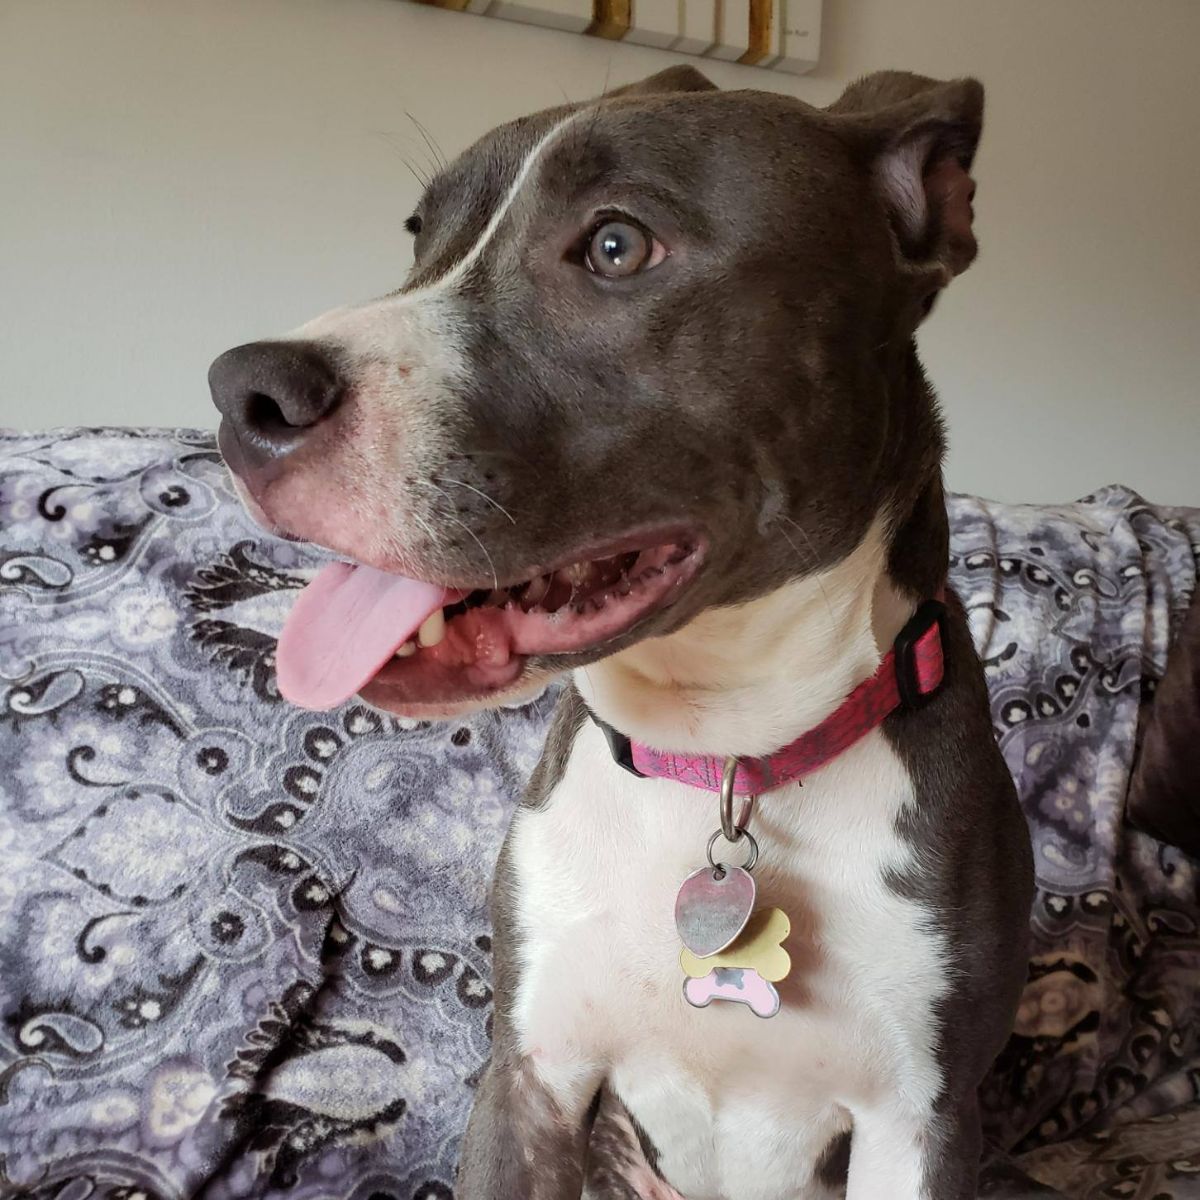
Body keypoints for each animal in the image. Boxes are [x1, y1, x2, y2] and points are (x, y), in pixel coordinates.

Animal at [206, 63, 1032, 1200]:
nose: (243, 393)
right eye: (421, 235)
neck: (724, 752)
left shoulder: (925, 1123)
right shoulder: (530, 1079)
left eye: (615, 246)